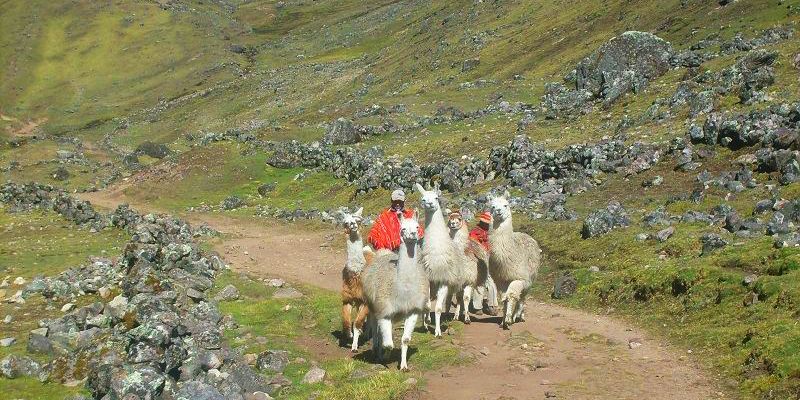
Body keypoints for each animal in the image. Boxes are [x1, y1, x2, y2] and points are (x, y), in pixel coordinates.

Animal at [362, 213, 429, 370]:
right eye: (402, 228)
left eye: (417, 226)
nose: (413, 234)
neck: (403, 291)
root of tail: (382, 253)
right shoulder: (384, 312)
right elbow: (388, 344)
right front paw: (384, 358)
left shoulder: (412, 311)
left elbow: (405, 340)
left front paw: (403, 366)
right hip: (373, 306)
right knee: (375, 329)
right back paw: (375, 350)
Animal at [487, 191, 542, 329]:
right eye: (492, 206)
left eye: (505, 205)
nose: (499, 211)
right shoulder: (501, 280)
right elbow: (505, 298)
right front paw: (503, 320)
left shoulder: (520, 278)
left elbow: (512, 295)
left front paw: (508, 320)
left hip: (530, 279)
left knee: (522, 297)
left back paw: (519, 315)